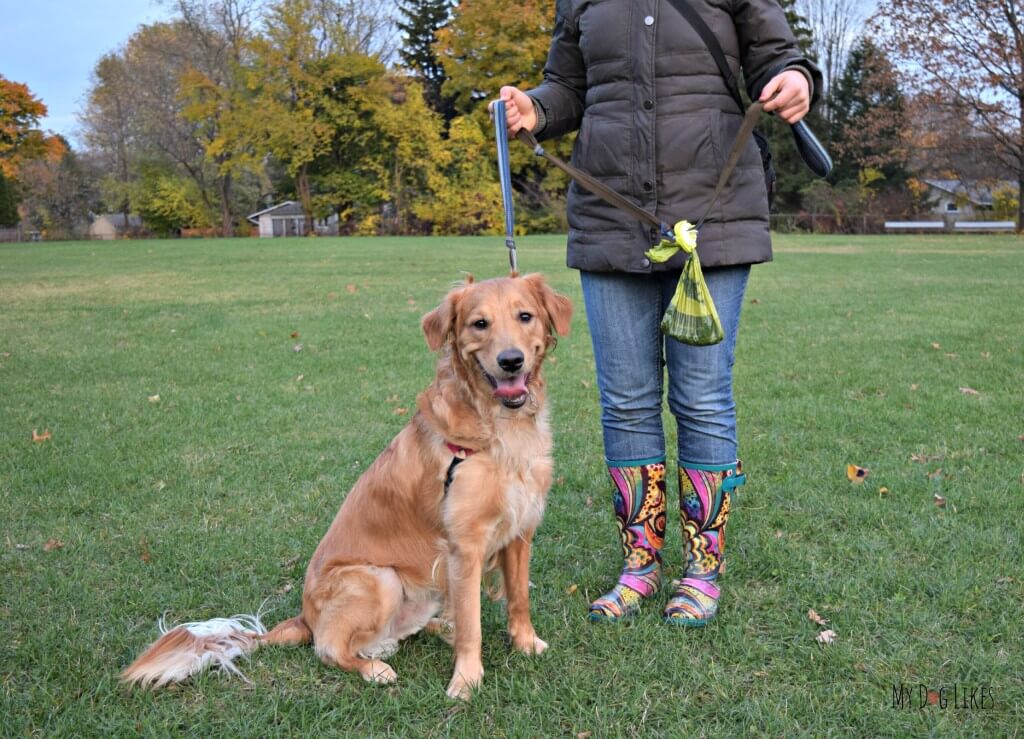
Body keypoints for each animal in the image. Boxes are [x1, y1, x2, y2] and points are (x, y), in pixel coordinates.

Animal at [122, 274, 573, 700]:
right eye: (480, 324)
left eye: (525, 316)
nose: (511, 361)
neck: (500, 430)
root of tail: (304, 617)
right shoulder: (464, 546)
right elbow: (472, 627)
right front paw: (465, 681)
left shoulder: (520, 531)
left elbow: (518, 597)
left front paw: (525, 643)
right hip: (378, 578)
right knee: (327, 649)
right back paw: (374, 668)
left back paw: (432, 630)